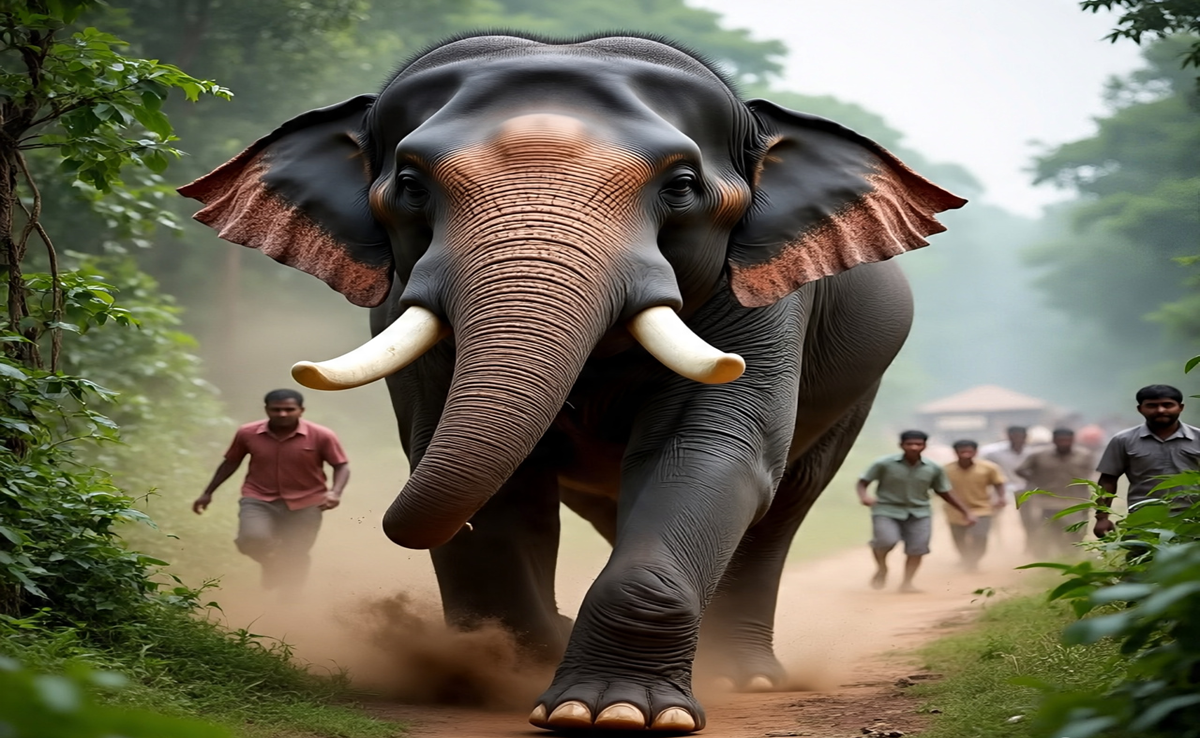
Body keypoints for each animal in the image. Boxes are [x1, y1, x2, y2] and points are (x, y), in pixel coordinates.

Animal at [180, 32, 965, 733]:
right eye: (408, 185)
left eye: (682, 187)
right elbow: (489, 475)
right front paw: (507, 674)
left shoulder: (763, 297)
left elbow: (708, 449)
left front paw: (611, 711)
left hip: (854, 396)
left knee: (781, 507)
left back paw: (743, 675)